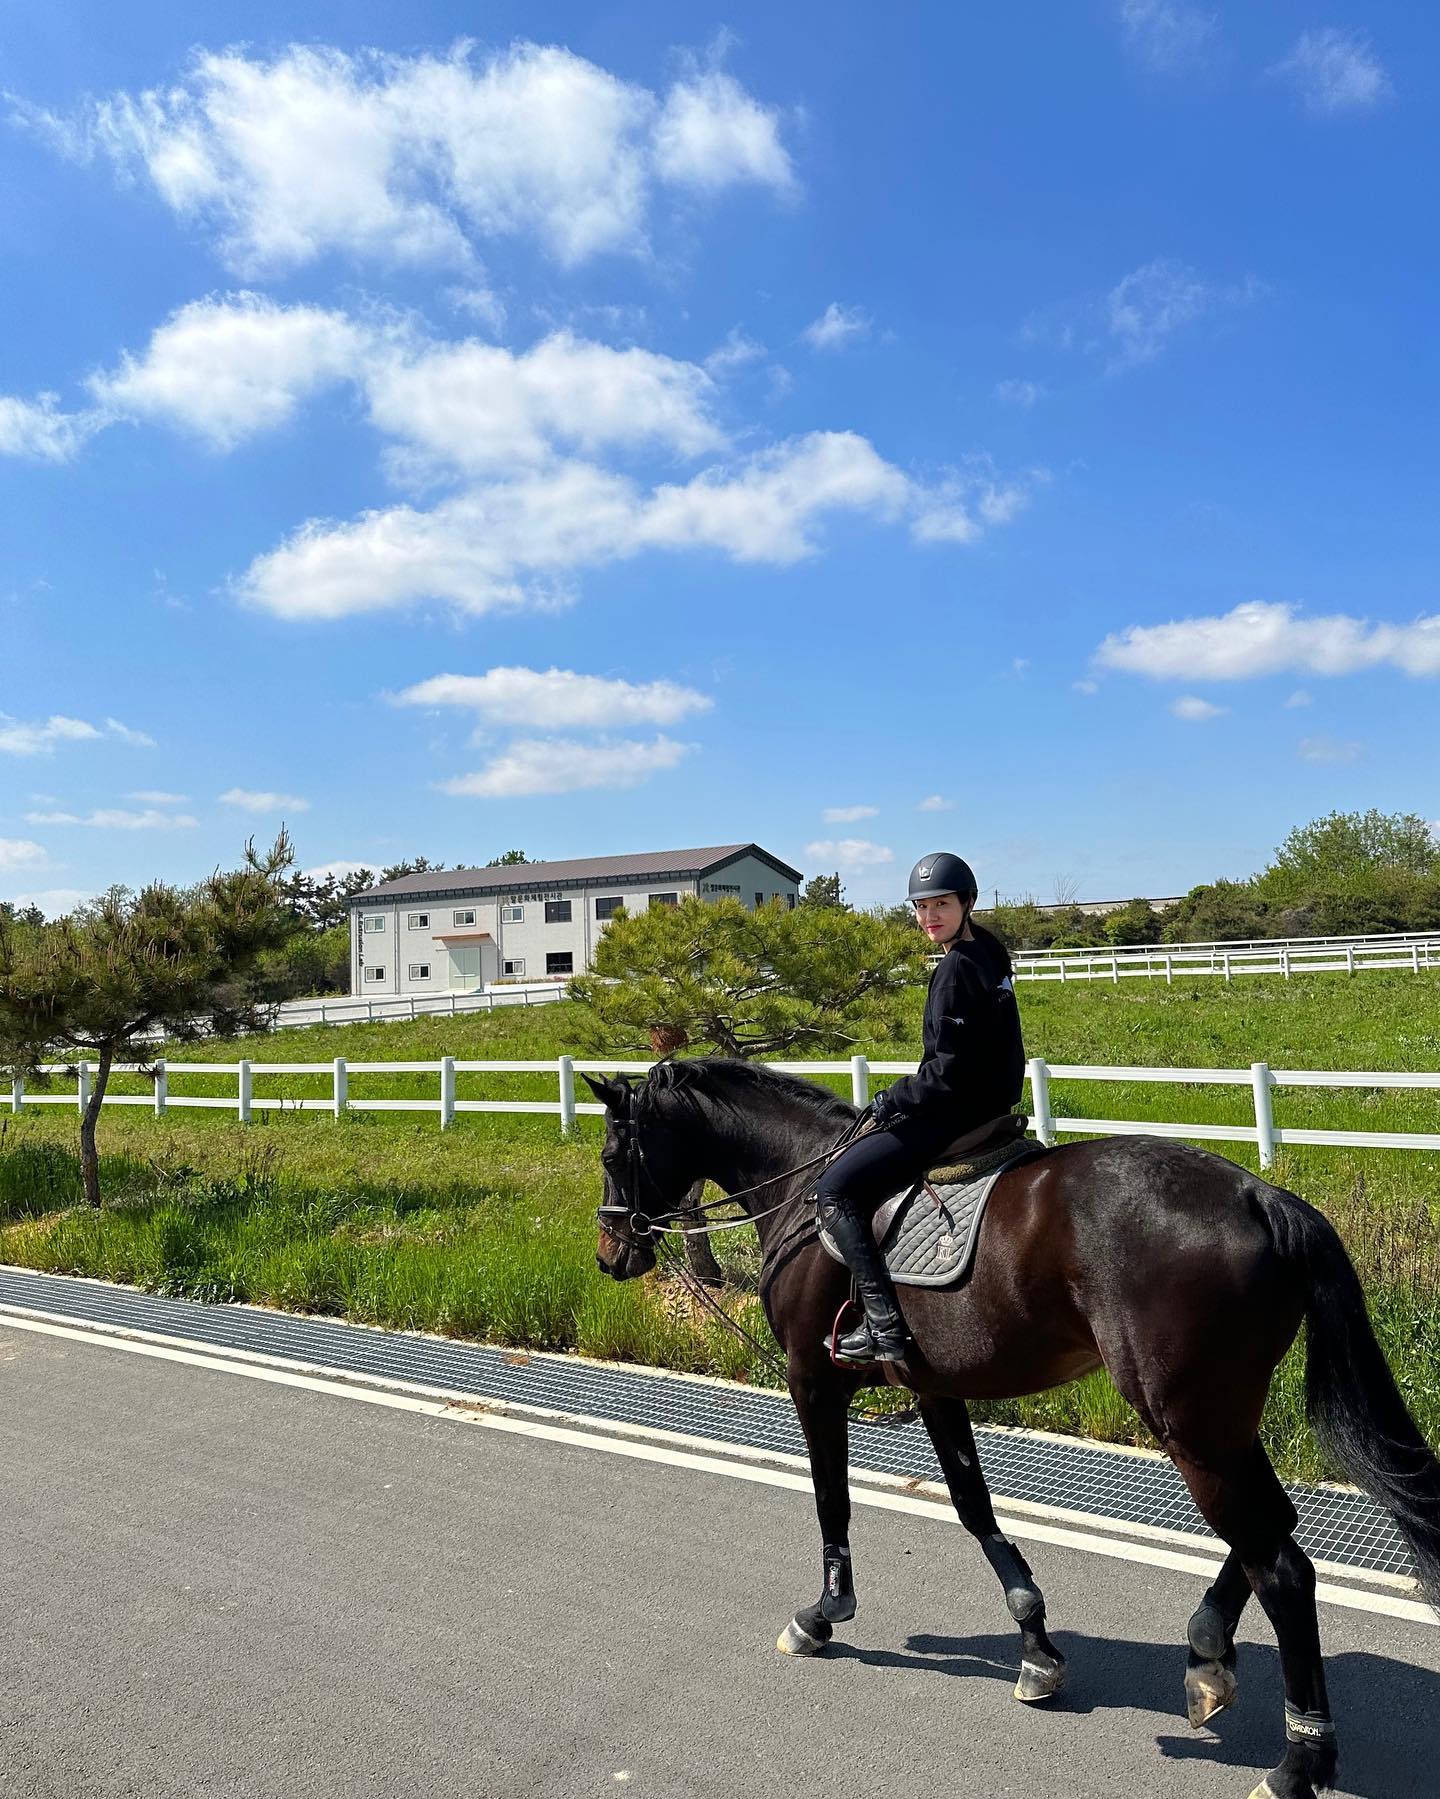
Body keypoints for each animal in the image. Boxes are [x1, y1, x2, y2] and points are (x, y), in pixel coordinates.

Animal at [586, 1057, 1440, 1799]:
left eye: (613, 1151)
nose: (609, 1253)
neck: (798, 1180)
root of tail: (1260, 1194)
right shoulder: (934, 1387)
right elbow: (974, 1507)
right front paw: (1035, 1644)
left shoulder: (812, 1381)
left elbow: (832, 1500)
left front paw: (823, 1614)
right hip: (1220, 1418)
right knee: (1271, 1530)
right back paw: (1207, 1653)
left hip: (1189, 1422)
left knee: (1282, 1564)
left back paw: (1298, 1762)